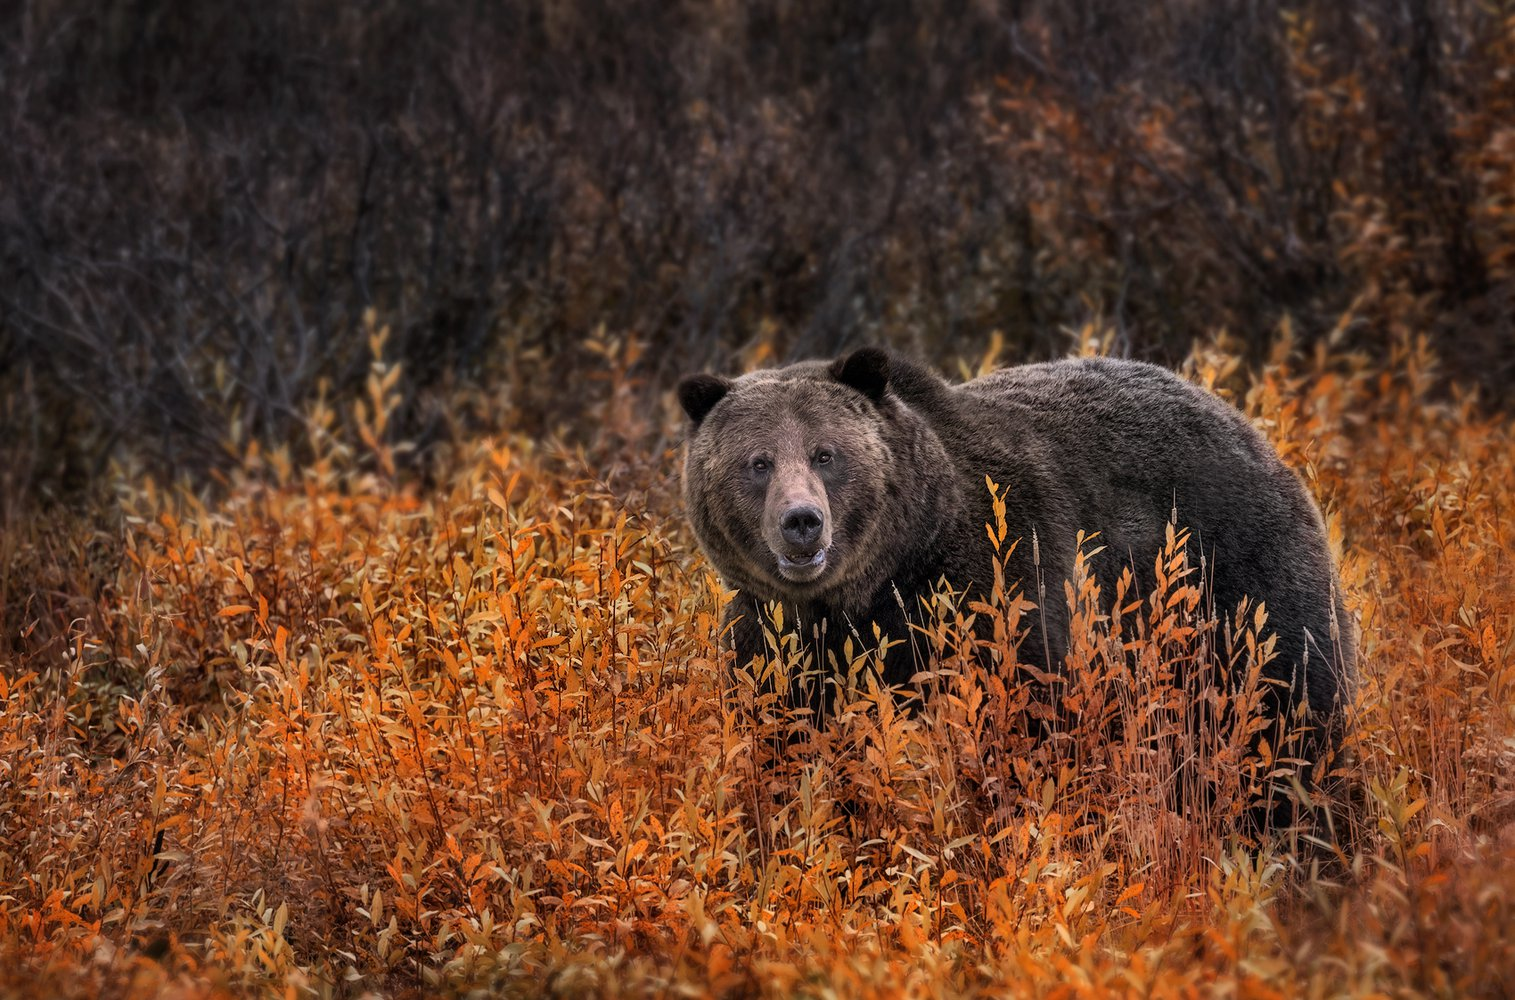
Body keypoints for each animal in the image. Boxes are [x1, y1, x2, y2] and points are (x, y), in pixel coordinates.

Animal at [681, 346, 1357, 775]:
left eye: (826, 454)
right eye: (758, 461)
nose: (802, 521)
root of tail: (1254, 430)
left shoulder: (996, 591)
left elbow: (1029, 713)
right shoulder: (775, 639)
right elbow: (784, 735)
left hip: (1239, 587)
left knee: (1290, 715)